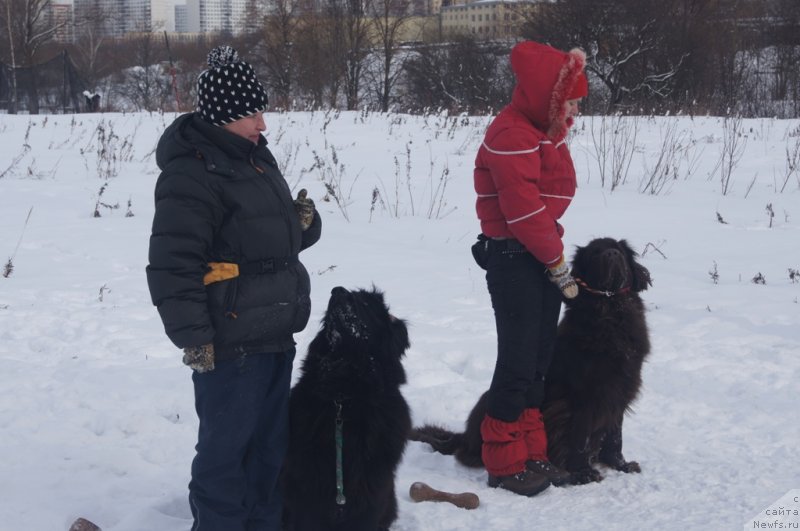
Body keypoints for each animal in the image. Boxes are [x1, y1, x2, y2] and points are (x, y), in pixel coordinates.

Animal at [412, 240, 648, 486]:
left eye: (619, 250)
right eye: (595, 253)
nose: (611, 254)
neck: (610, 310)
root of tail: (464, 438)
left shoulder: (619, 391)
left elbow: (615, 436)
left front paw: (621, 465)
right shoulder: (583, 396)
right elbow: (580, 438)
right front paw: (583, 472)